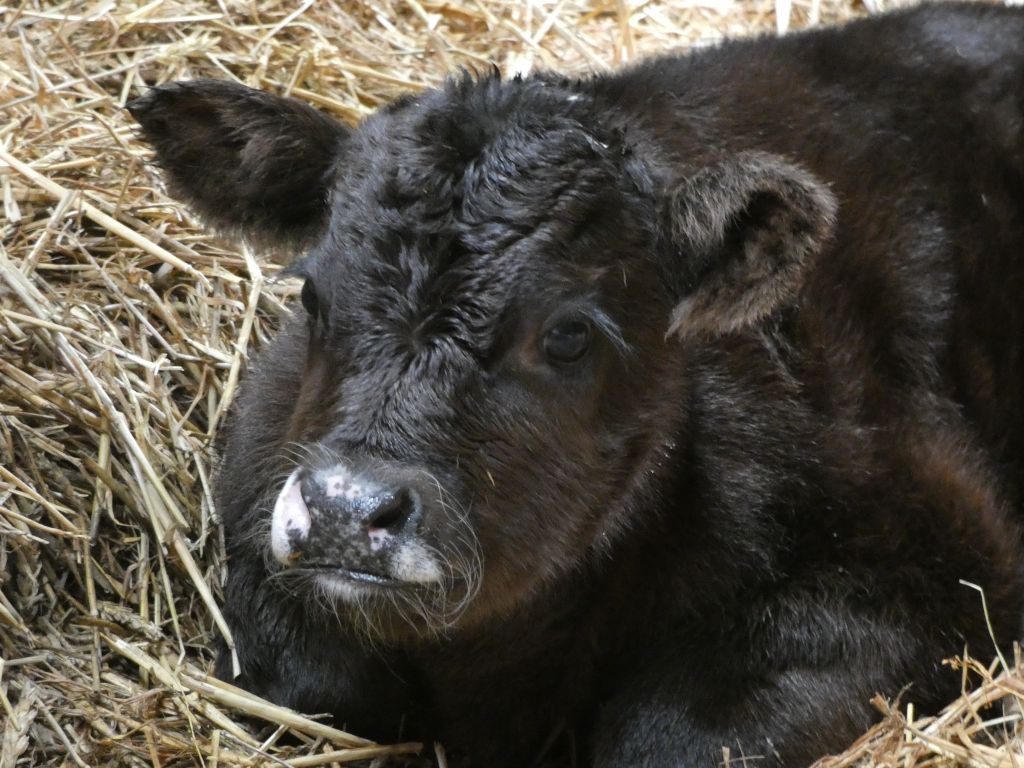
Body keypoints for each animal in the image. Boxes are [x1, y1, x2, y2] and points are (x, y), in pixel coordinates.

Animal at [128, 3, 1024, 765]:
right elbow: (308, 683)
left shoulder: (934, 574)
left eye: (567, 333)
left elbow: (667, 736)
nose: (347, 510)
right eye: (315, 295)